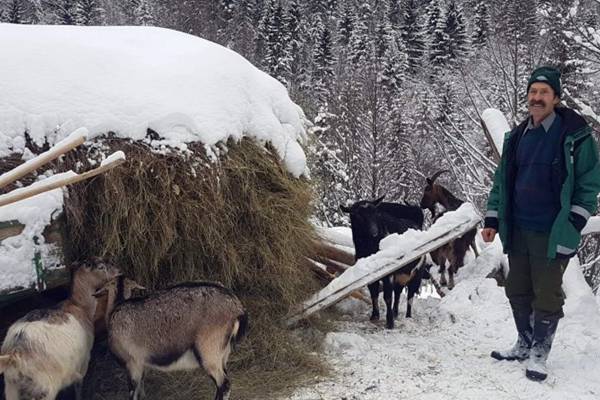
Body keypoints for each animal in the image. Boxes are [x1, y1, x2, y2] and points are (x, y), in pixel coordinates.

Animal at [0, 260, 122, 400]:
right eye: (101, 267)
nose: (119, 270)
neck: (80, 306)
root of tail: (15, 354)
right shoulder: (83, 363)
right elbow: (78, 386)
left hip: (11, 390)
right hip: (45, 389)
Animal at [340, 195, 428, 330]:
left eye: (375, 213)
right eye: (357, 215)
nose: (374, 232)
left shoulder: (388, 274)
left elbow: (387, 296)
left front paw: (390, 322)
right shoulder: (370, 275)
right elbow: (374, 294)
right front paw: (375, 316)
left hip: (417, 273)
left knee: (410, 295)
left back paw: (408, 316)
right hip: (400, 275)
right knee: (398, 292)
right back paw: (396, 312)